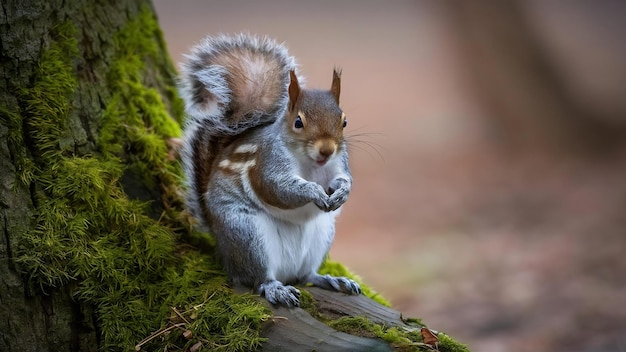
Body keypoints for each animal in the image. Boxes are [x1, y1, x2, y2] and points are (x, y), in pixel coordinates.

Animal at [178, 34, 358, 306]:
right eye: (298, 122)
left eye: (344, 121)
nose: (326, 150)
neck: (311, 163)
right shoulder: (267, 161)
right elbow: (278, 188)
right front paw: (313, 192)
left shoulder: (339, 162)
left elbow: (343, 179)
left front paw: (342, 193)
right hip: (247, 234)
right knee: (255, 278)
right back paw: (276, 288)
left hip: (321, 234)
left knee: (306, 275)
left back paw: (331, 279)